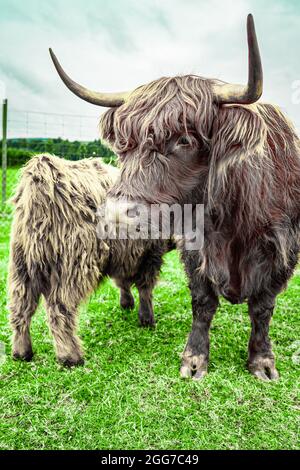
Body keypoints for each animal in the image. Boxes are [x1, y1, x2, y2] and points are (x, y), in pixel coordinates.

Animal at [8, 155, 171, 368]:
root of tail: (42, 171)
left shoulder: (124, 255)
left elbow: (123, 281)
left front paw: (126, 304)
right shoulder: (151, 253)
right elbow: (145, 288)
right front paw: (147, 319)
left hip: (21, 265)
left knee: (20, 307)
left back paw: (22, 352)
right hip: (74, 264)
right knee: (59, 309)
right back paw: (70, 357)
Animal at [49, 14, 300, 380]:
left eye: (185, 140)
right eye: (122, 144)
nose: (116, 215)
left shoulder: (283, 251)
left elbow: (263, 308)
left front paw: (262, 361)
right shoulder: (194, 247)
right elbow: (203, 302)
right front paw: (194, 359)